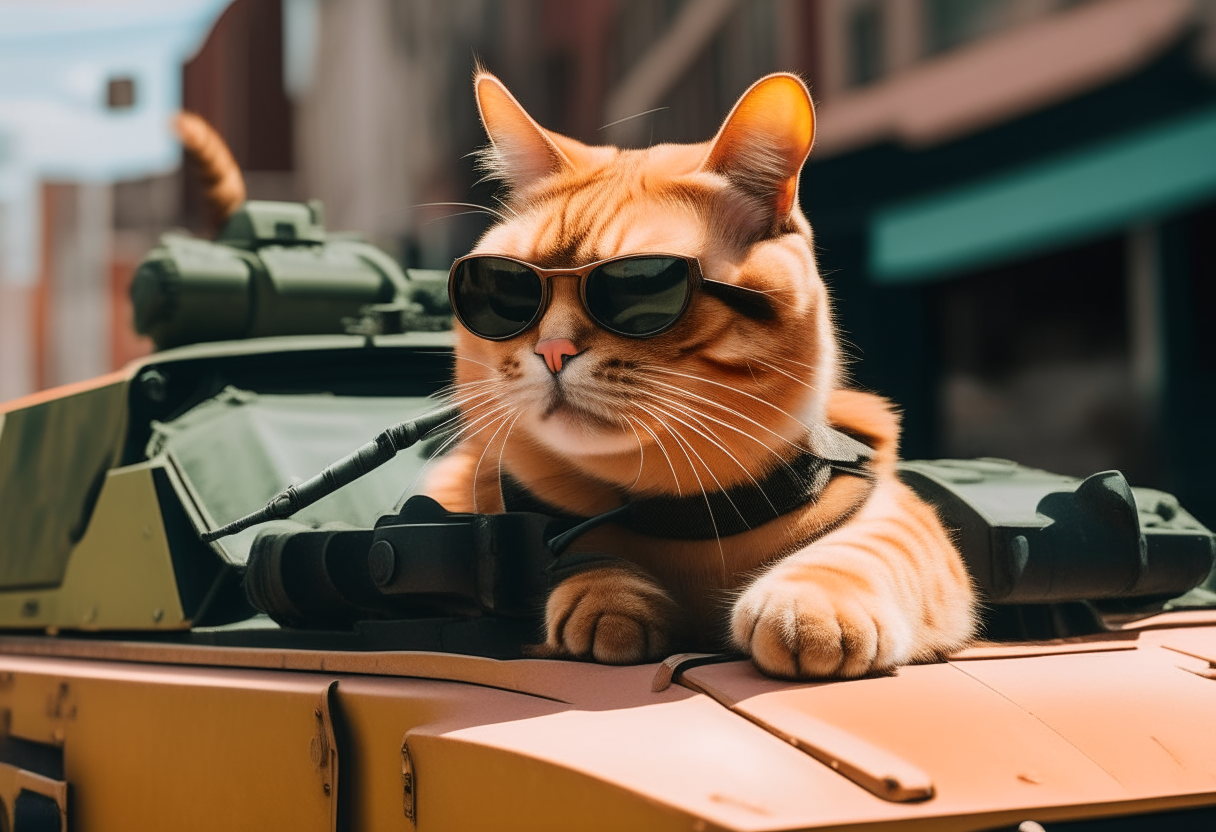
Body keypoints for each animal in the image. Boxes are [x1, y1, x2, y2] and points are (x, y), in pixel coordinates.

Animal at [423, 71, 972, 681]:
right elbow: (578, 555)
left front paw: (809, 609)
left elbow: (861, 551)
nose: (553, 349)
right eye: (506, 292)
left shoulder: (899, 516)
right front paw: (608, 600)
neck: (676, 513)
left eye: (641, 289)